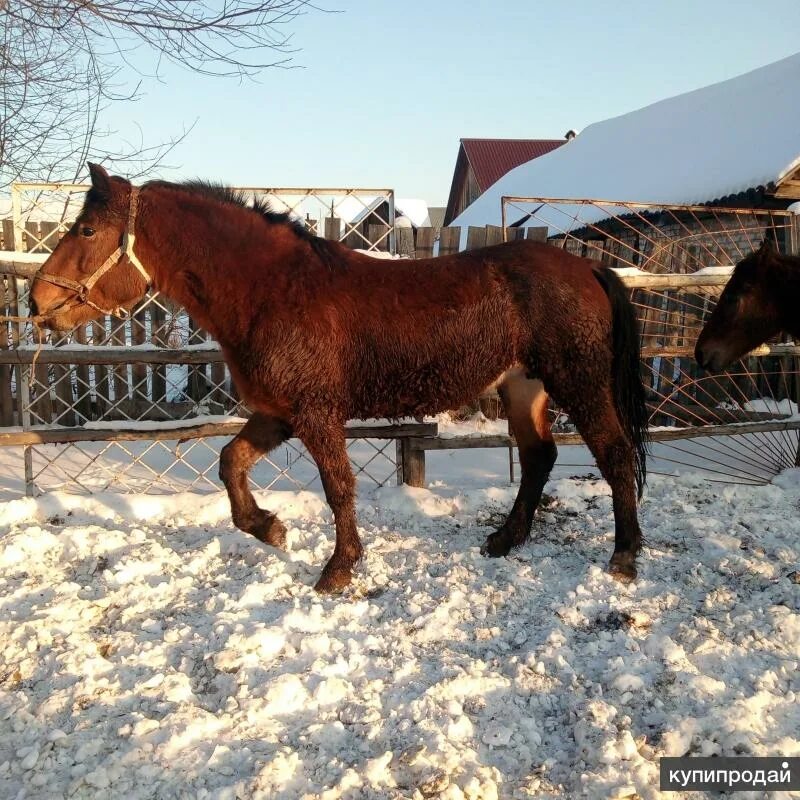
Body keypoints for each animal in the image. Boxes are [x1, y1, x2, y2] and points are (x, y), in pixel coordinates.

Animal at [32, 164, 648, 588]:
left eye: (86, 230)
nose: (39, 300)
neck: (271, 289)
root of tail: (588, 266)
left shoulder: (316, 415)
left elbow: (337, 488)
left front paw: (339, 569)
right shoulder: (278, 413)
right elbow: (230, 462)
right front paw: (268, 527)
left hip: (579, 384)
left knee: (614, 453)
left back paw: (624, 555)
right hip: (523, 386)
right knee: (540, 457)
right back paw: (505, 540)